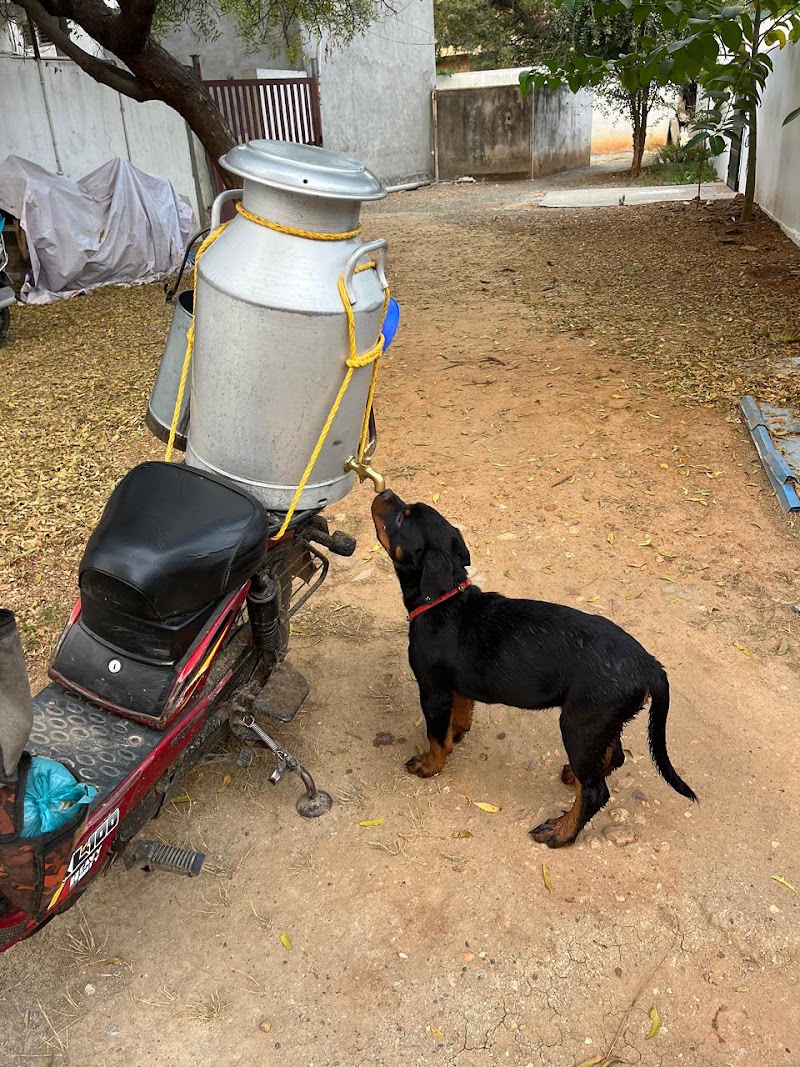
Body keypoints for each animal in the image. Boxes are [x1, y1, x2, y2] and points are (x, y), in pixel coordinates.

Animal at [372, 489, 697, 847]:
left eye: (401, 518)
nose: (384, 492)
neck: (444, 600)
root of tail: (650, 665)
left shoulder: (433, 690)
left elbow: (434, 736)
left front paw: (428, 766)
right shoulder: (455, 687)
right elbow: (460, 715)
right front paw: (457, 735)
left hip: (579, 722)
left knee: (595, 791)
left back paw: (561, 831)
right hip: (600, 723)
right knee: (613, 758)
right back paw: (573, 776)